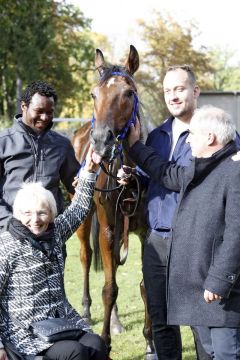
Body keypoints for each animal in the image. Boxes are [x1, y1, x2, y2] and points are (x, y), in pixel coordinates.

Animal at [72, 45, 157, 360]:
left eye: (128, 93)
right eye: (93, 94)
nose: (101, 141)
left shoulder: (146, 232)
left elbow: (146, 286)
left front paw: (150, 344)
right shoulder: (108, 230)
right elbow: (109, 289)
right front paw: (105, 344)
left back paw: (118, 321)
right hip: (85, 219)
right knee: (86, 257)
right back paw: (86, 312)